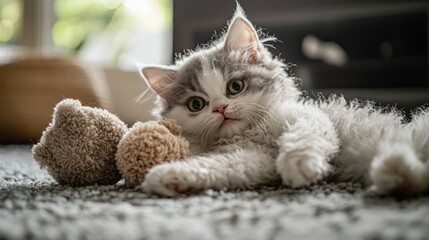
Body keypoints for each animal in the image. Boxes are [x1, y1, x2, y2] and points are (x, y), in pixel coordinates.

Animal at [139, 5, 428, 197]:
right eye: (196, 105)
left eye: (235, 87)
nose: (221, 108)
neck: (255, 133)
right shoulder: (255, 158)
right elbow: (217, 166)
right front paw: (166, 177)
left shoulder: (309, 117)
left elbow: (303, 137)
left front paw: (299, 165)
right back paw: (395, 170)